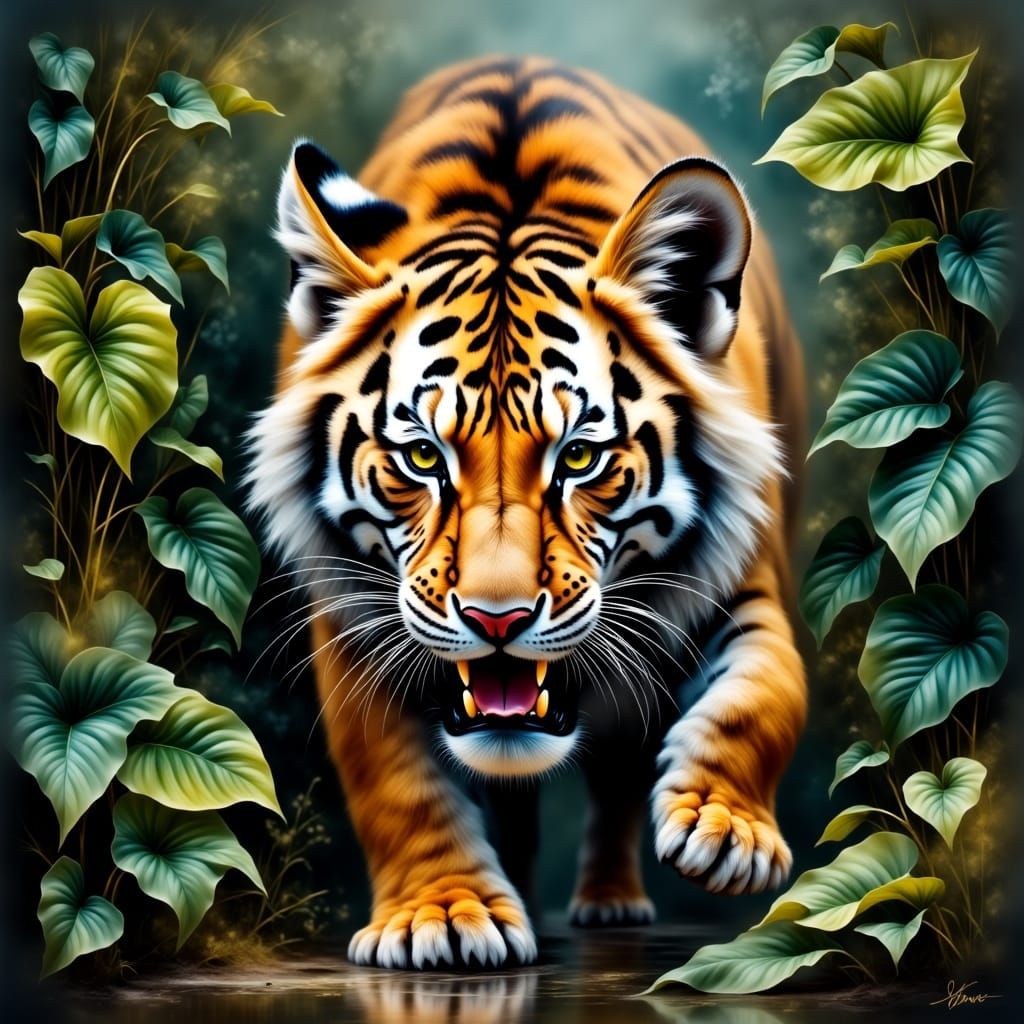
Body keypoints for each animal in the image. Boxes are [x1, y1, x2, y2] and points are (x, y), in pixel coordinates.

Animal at [247, 55, 807, 970]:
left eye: (578, 458)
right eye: (422, 457)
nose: (497, 620)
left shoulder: (739, 572)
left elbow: (769, 689)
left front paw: (724, 830)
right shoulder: (352, 616)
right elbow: (392, 780)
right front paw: (443, 914)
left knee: (616, 774)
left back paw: (612, 902)